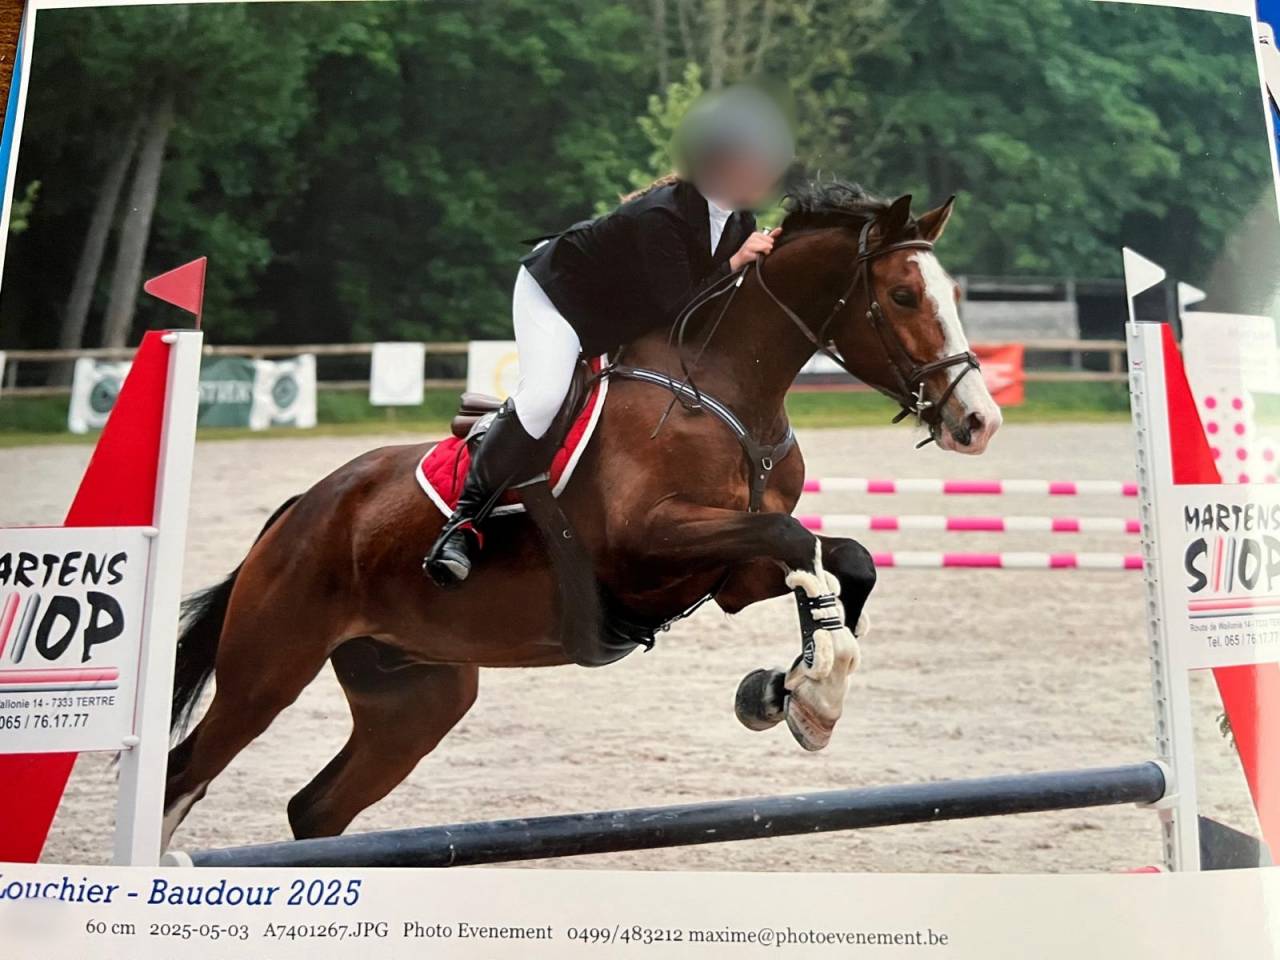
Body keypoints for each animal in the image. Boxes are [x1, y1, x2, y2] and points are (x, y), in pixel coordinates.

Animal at [161, 182, 1001, 846]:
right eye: (903, 296)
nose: (979, 421)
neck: (729, 394)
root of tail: (301, 510)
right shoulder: (647, 543)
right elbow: (797, 538)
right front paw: (806, 689)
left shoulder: (726, 573)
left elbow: (840, 557)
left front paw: (795, 693)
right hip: (268, 669)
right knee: (184, 775)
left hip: (415, 697)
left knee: (316, 810)